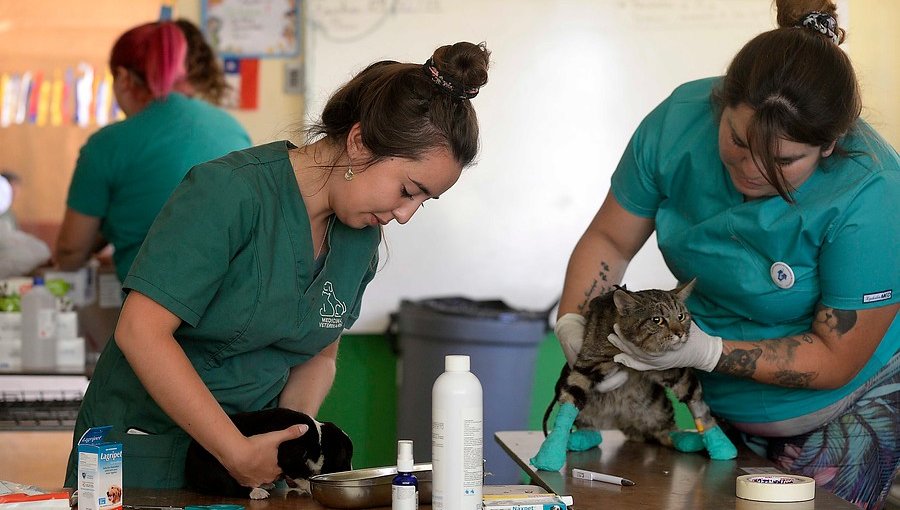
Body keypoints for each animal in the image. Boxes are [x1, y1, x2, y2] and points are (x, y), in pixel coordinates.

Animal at [540, 278, 724, 450]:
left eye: (681, 316)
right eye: (657, 320)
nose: (680, 333)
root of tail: (619, 421)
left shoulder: (671, 369)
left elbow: (695, 399)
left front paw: (719, 442)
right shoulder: (586, 364)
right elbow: (570, 400)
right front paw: (551, 451)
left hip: (658, 405)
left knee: (664, 429)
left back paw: (684, 439)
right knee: (590, 428)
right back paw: (582, 438)